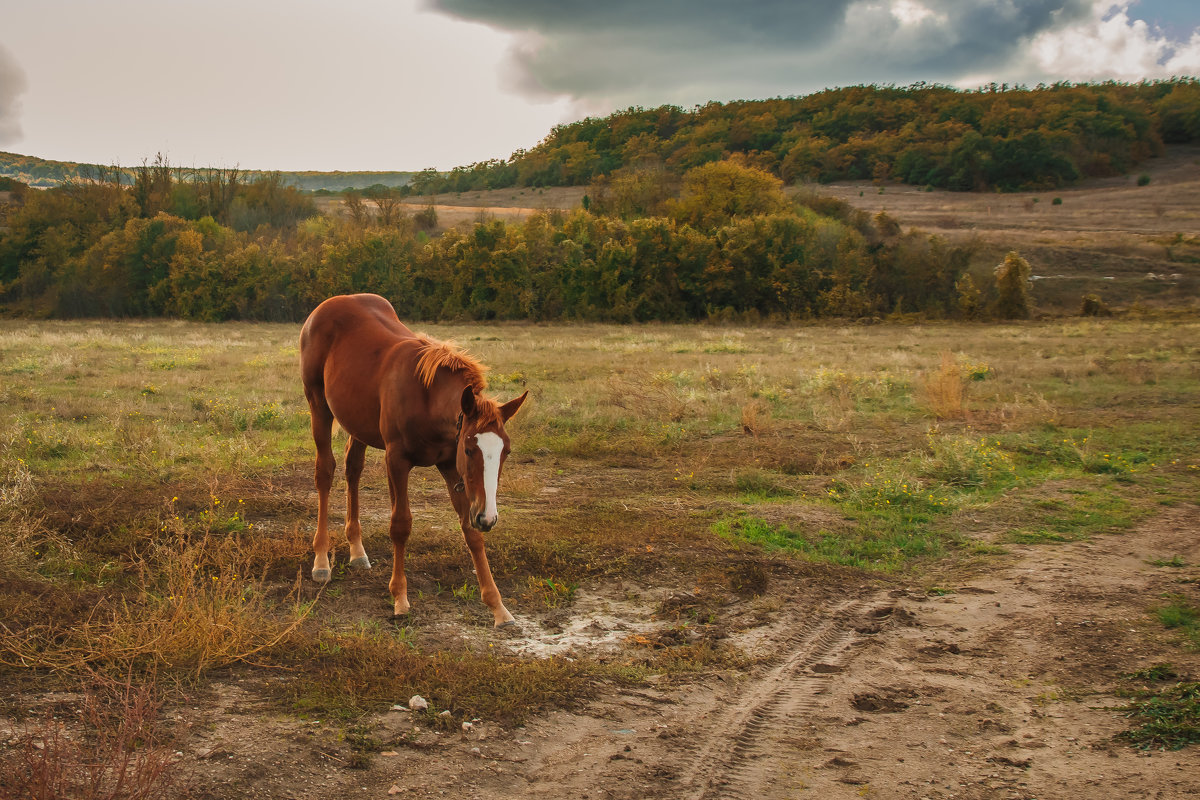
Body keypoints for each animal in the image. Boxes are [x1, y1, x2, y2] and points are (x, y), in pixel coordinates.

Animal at [298, 293, 525, 623]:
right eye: (470, 449)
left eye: (506, 451)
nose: (488, 518)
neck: (426, 397)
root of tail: (329, 305)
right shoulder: (397, 461)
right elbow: (400, 525)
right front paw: (400, 598)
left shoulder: (450, 466)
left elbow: (470, 531)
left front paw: (497, 605)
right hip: (319, 406)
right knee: (325, 473)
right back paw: (321, 561)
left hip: (358, 422)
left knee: (353, 469)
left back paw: (357, 550)